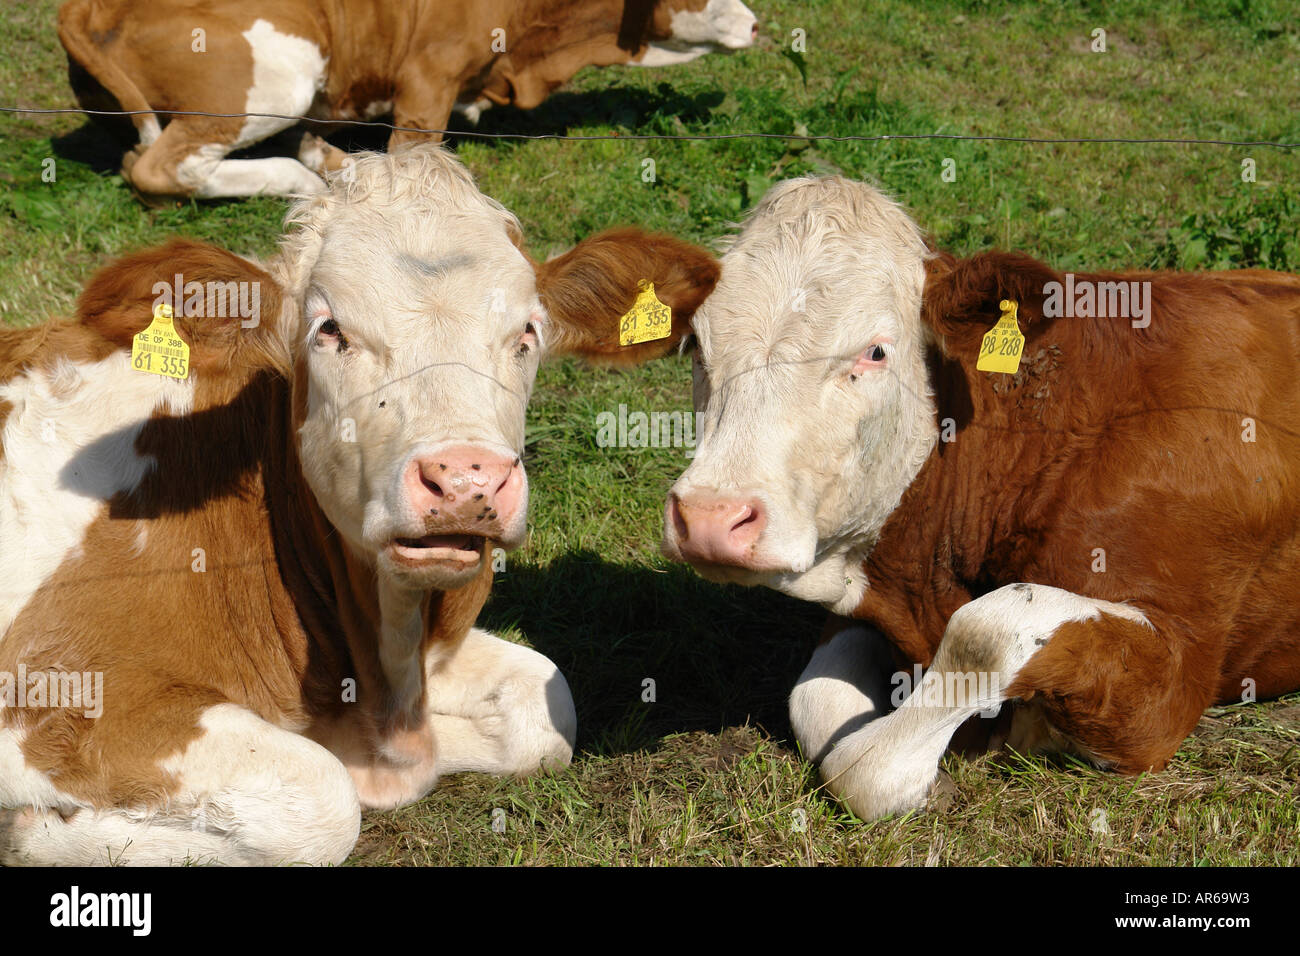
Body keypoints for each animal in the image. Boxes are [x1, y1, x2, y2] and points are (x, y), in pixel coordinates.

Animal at [0, 144, 717, 865]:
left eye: (527, 332)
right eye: (329, 330)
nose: (467, 480)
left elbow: (545, 708)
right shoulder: (54, 689)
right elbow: (320, 798)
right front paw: (39, 830)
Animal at [662, 175, 1300, 821]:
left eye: (876, 351)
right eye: (697, 347)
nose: (710, 517)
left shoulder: (1174, 678)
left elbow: (974, 644)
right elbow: (814, 700)